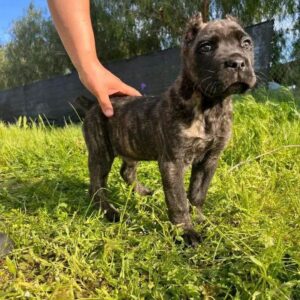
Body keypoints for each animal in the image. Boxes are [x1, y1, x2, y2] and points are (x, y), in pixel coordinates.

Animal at [75, 13, 255, 246]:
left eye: (246, 43)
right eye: (206, 47)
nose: (237, 62)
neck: (210, 107)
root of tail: (93, 105)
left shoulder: (209, 159)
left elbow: (197, 193)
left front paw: (200, 218)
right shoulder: (173, 162)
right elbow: (178, 199)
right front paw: (186, 231)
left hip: (130, 146)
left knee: (126, 171)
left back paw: (140, 192)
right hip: (101, 153)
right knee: (97, 186)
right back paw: (110, 212)